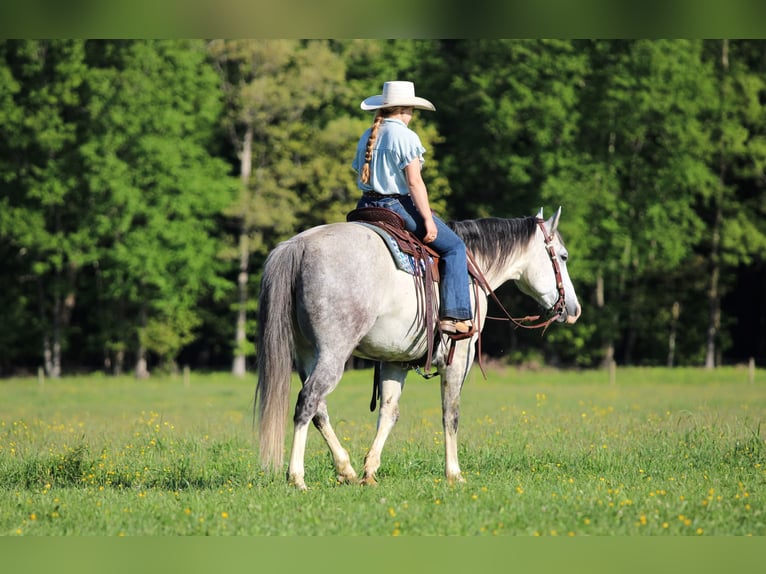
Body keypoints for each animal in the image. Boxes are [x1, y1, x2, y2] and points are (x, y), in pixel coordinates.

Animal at [255, 207, 581, 490]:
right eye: (563, 256)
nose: (573, 309)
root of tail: (299, 245)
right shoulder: (459, 358)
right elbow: (451, 414)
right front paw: (454, 473)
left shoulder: (393, 360)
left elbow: (389, 412)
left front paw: (370, 470)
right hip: (333, 354)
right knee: (308, 401)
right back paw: (297, 477)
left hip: (308, 354)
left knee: (319, 409)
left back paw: (345, 469)